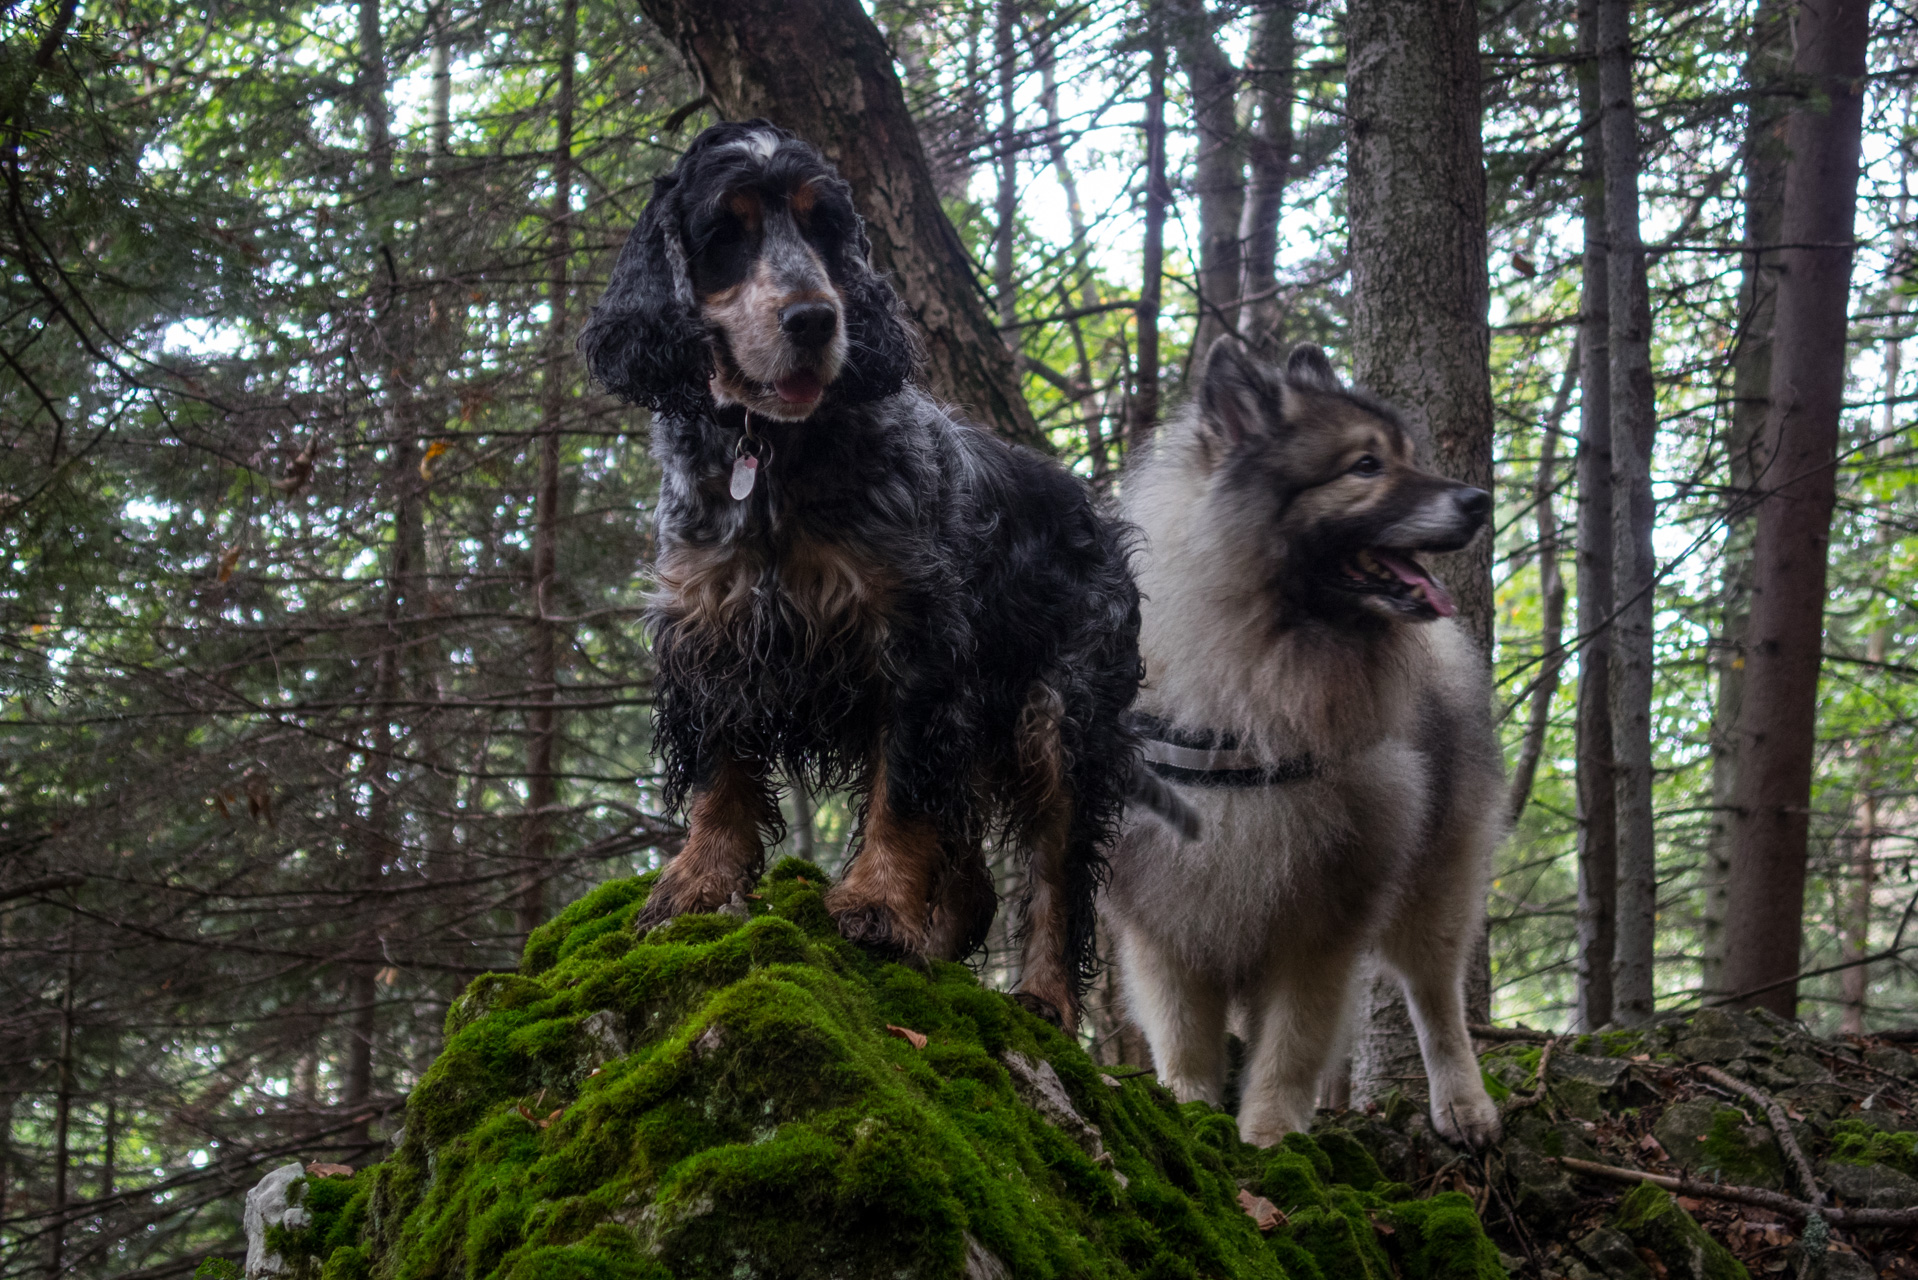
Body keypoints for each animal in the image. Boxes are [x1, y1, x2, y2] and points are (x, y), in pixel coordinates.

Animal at [575, 122, 1143, 1028]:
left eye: (825, 226)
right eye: (726, 231)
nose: (814, 318)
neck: (772, 453)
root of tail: (1095, 512)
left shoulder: (914, 648)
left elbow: (899, 798)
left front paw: (875, 906)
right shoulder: (712, 630)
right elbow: (720, 777)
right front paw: (697, 881)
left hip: (1059, 718)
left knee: (1056, 875)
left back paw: (1042, 994)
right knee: (976, 882)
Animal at [1104, 339, 1503, 1151]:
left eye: (1408, 457)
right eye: (1366, 465)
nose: (1480, 499)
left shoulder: (1321, 917)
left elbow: (1290, 1045)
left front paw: (1269, 1135)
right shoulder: (1165, 916)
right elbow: (1184, 1035)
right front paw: (1188, 1111)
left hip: (1436, 882)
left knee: (1437, 1000)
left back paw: (1464, 1105)